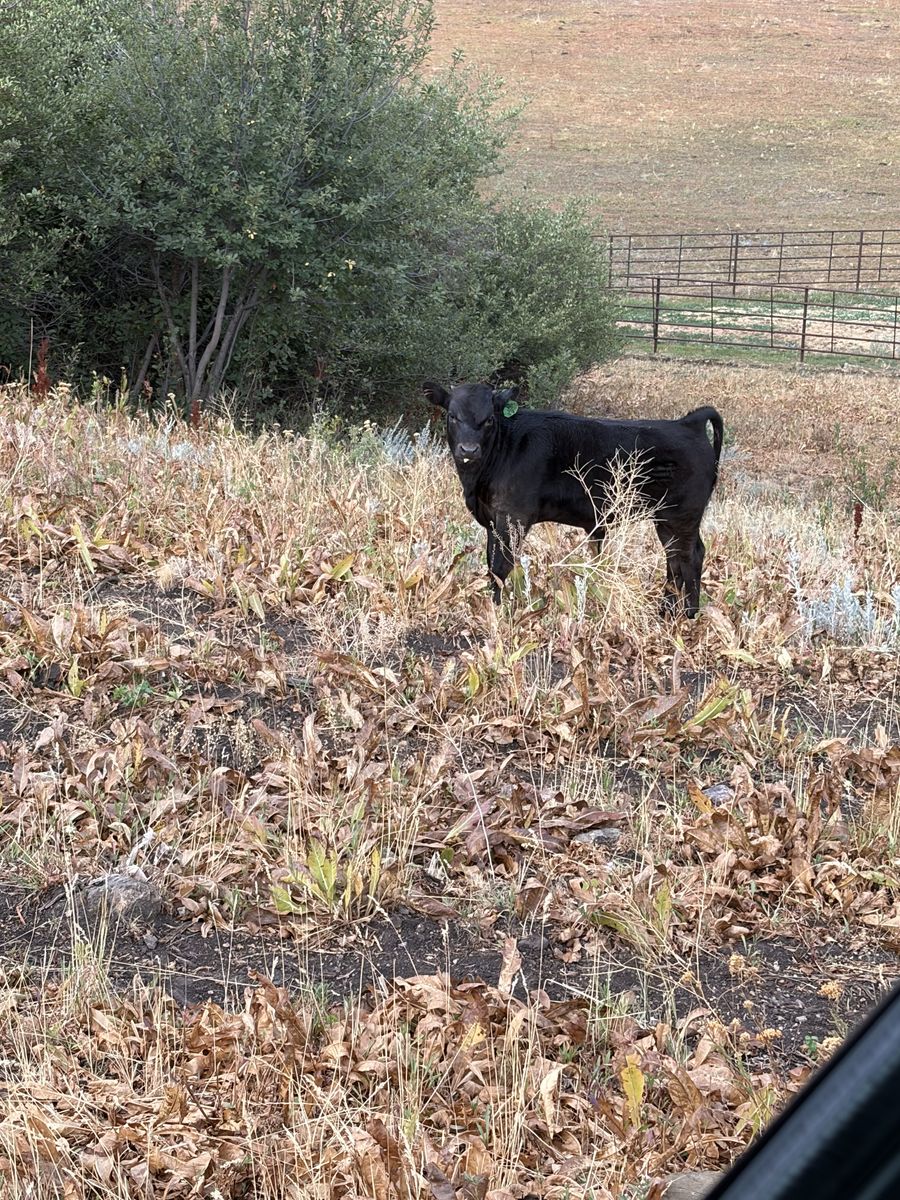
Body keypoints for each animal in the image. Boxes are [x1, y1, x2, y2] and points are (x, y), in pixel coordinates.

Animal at [423, 381, 724, 617]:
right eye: (452, 416)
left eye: (489, 420)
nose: (468, 449)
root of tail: (688, 423)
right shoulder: (491, 519)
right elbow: (491, 562)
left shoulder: (512, 516)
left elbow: (501, 565)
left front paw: (496, 612)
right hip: (666, 518)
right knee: (674, 559)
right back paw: (666, 611)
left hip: (681, 515)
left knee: (689, 557)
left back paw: (690, 615)